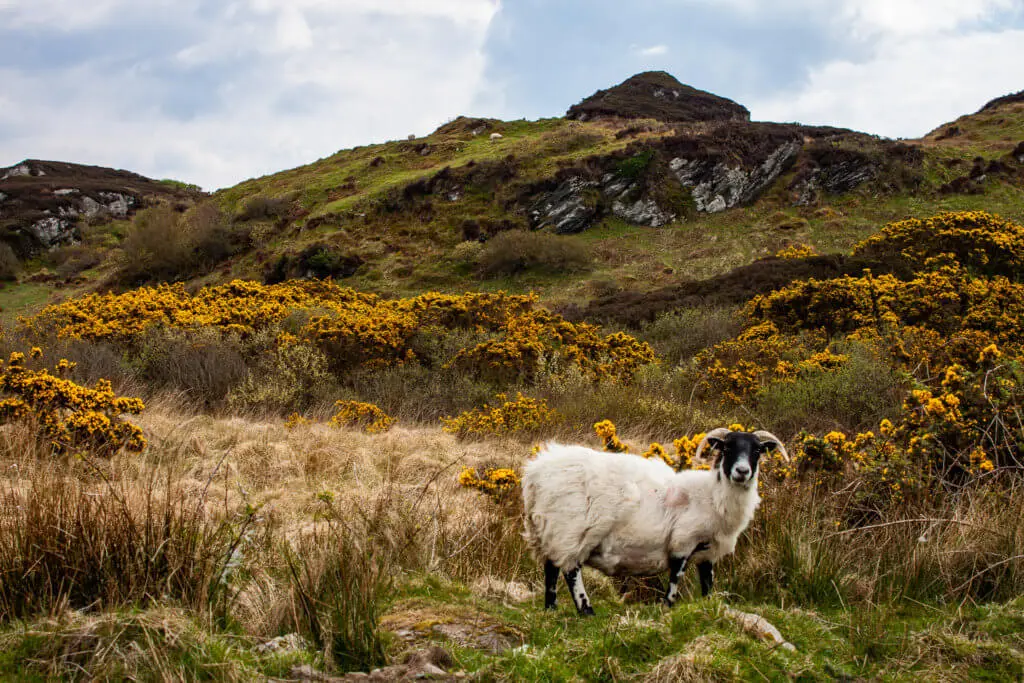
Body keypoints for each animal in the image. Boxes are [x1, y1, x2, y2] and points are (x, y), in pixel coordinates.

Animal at [524, 428, 786, 614]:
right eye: (727, 447)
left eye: (757, 451)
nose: (742, 472)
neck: (712, 495)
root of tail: (536, 473)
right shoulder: (683, 540)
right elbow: (676, 576)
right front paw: (667, 606)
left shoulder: (707, 552)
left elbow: (707, 582)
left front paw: (709, 606)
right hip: (571, 529)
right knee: (570, 570)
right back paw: (586, 609)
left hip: (551, 529)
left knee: (551, 568)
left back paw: (551, 608)